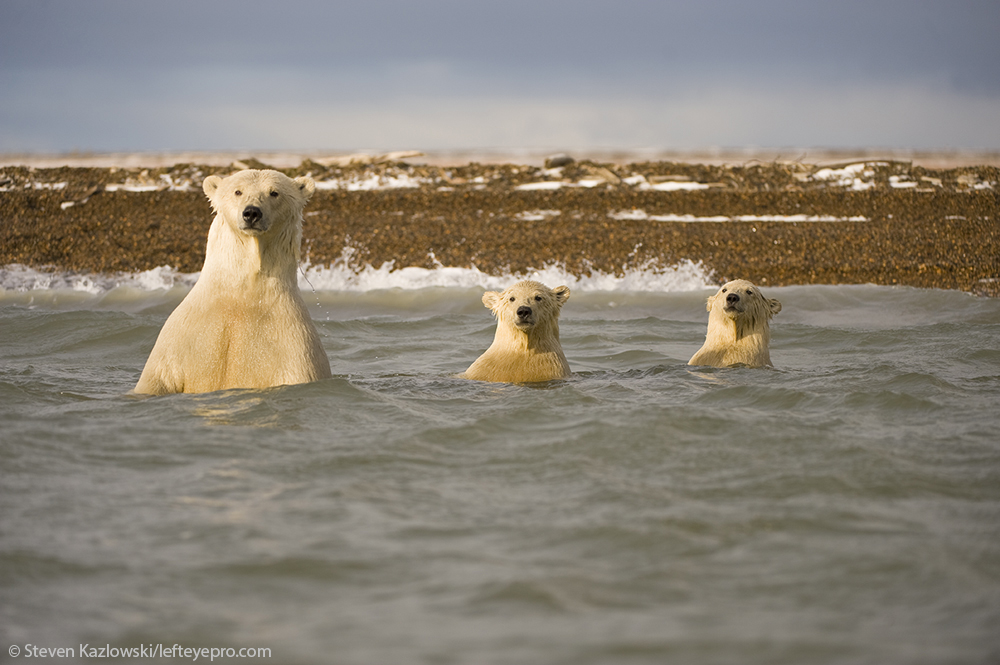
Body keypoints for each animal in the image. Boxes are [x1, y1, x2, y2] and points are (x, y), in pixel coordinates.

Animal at [134, 169, 332, 394]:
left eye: (274, 192)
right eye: (238, 191)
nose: (252, 213)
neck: (241, 294)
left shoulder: (294, 350)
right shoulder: (179, 343)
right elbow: (156, 380)